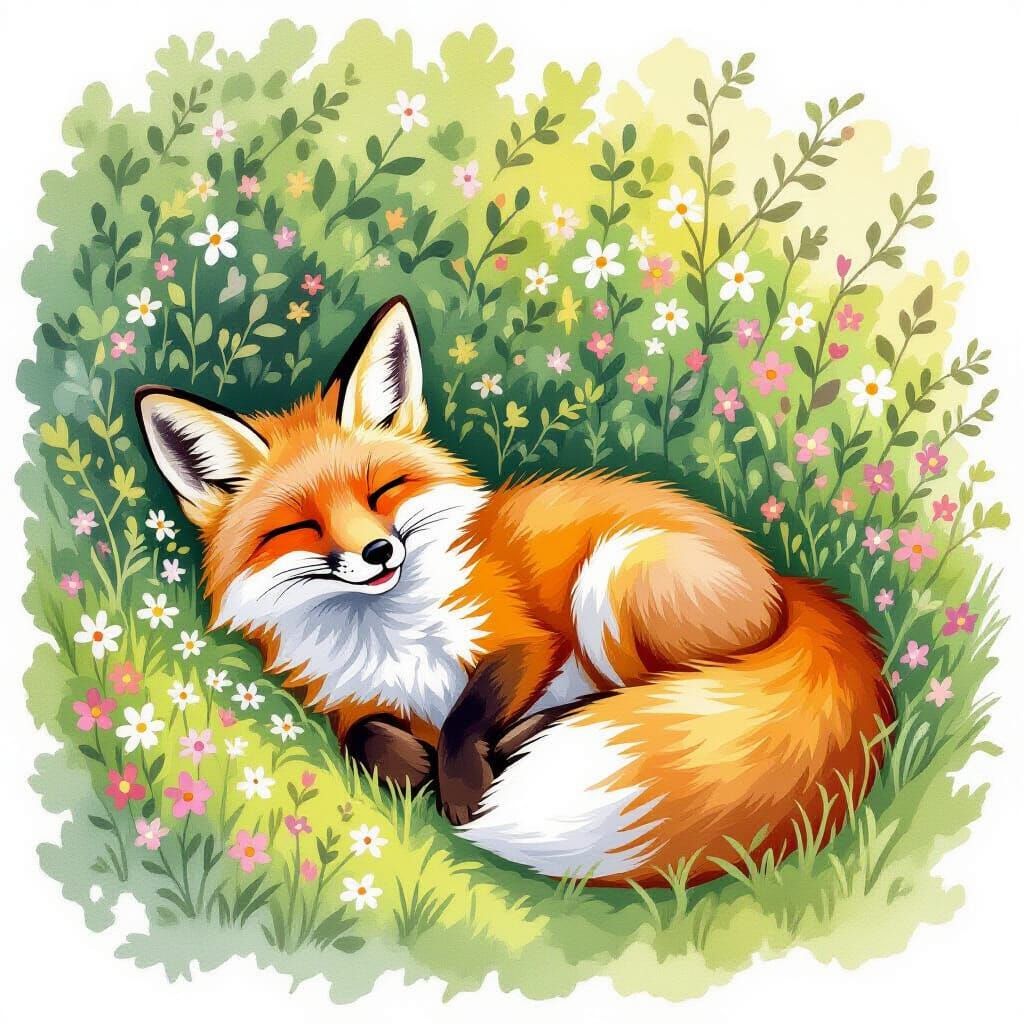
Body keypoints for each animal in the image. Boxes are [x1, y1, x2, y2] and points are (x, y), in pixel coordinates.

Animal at [136, 296, 895, 887]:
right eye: (301, 525)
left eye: (383, 491)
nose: (379, 552)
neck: (390, 638)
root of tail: (791, 588)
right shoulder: (345, 701)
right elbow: (368, 738)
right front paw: (412, 769)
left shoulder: (526, 641)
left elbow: (468, 713)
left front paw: (465, 789)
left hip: (611, 581)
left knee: (653, 688)